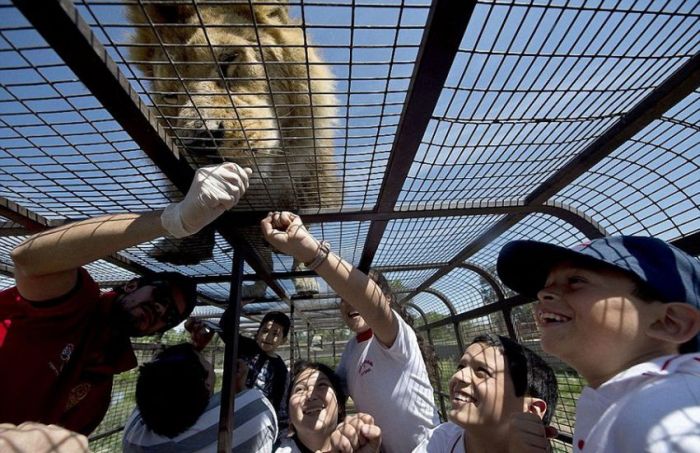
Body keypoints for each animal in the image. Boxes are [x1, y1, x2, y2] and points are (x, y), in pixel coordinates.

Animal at [130, 0, 340, 296]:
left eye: (228, 59)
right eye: (171, 95)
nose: (200, 140)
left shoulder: (314, 189)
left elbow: (302, 234)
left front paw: (305, 276)